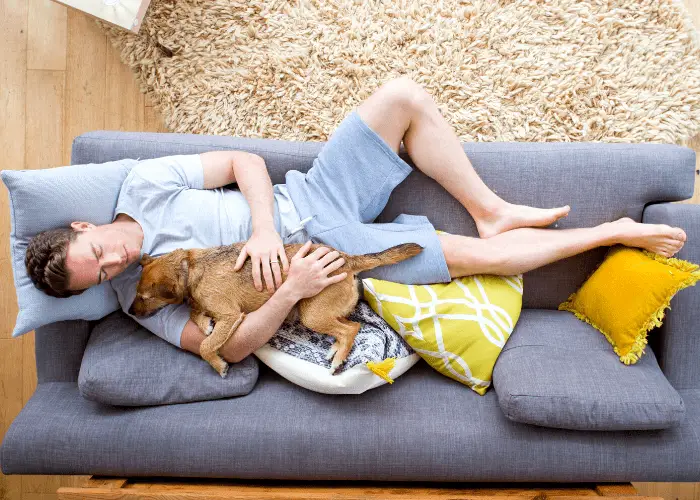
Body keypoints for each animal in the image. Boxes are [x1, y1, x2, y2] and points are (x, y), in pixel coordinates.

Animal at [129, 241, 422, 376]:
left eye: (143, 297)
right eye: (136, 294)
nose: (131, 311)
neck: (190, 269)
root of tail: (346, 258)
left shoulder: (230, 316)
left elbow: (205, 346)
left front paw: (217, 364)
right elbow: (195, 313)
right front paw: (204, 323)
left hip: (312, 314)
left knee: (352, 328)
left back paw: (338, 358)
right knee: (347, 326)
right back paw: (335, 351)